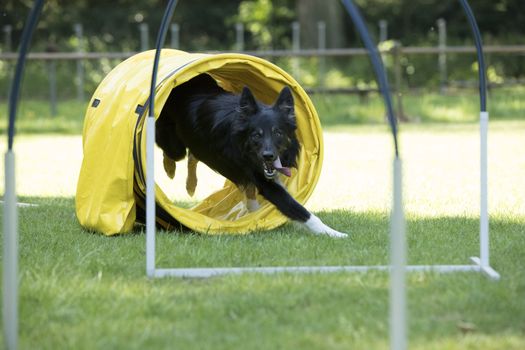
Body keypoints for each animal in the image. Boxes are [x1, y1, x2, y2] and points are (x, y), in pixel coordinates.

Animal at [155, 74, 348, 238]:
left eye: (278, 132)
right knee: (172, 153)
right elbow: (300, 210)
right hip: (176, 146)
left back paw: (191, 185)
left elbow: (252, 194)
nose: (268, 156)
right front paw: (334, 233)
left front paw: (253, 214)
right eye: (256, 135)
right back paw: (171, 170)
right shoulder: (264, 182)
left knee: (193, 156)